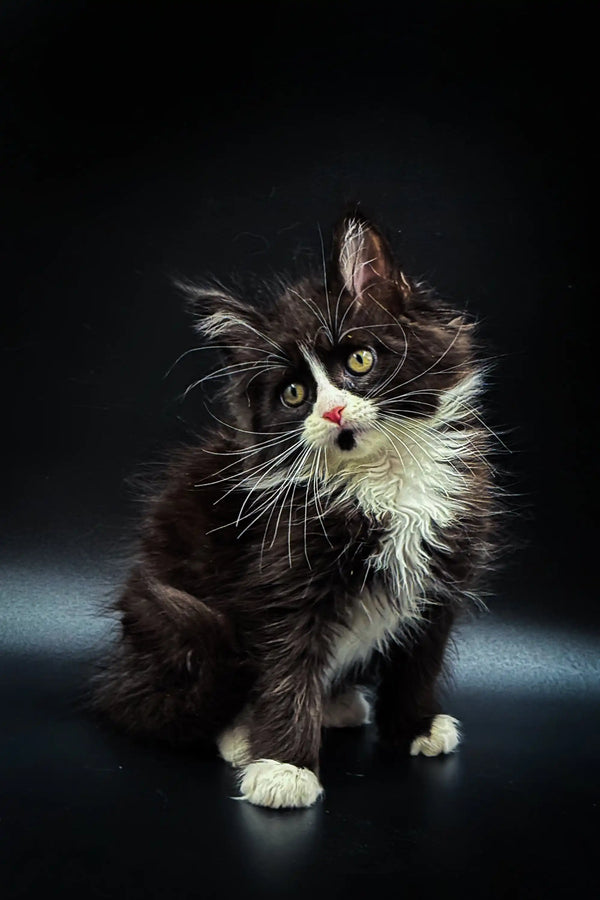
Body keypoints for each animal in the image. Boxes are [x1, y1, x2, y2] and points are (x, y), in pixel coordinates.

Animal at [96, 214, 494, 812]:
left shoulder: (440, 573)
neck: (377, 478)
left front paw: (416, 727)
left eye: (359, 360)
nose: (331, 411)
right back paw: (243, 736)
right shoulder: (284, 576)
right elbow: (289, 668)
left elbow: (419, 660)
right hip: (169, 630)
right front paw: (284, 767)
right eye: (293, 394)